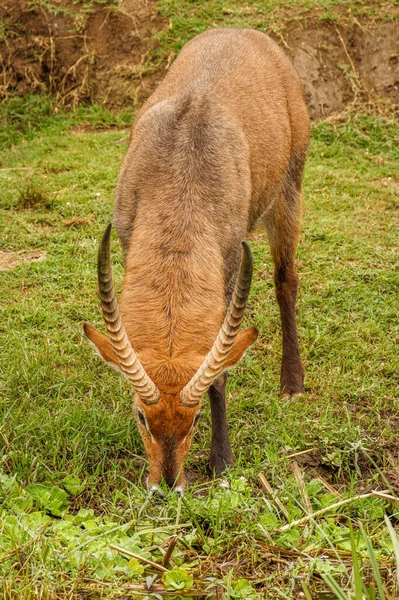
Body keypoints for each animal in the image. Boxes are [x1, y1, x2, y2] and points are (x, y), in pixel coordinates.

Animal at [83, 28, 310, 494]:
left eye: (196, 418)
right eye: (141, 416)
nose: (166, 485)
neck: (181, 170)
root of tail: (244, 30)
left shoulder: (231, 266)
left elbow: (219, 370)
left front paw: (222, 461)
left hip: (289, 191)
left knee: (286, 281)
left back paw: (292, 384)